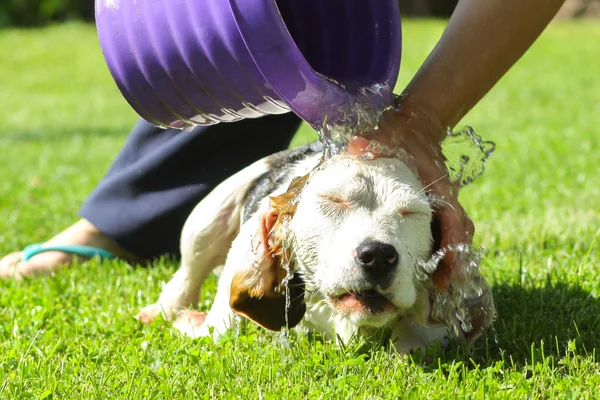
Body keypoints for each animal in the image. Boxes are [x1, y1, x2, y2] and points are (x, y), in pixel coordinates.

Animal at [138, 141, 494, 354]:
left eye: (411, 213)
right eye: (331, 200)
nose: (378, 255)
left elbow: (414, 337)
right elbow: (219, 329)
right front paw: (188, 322)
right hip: (207, 219)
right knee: (185, 279)